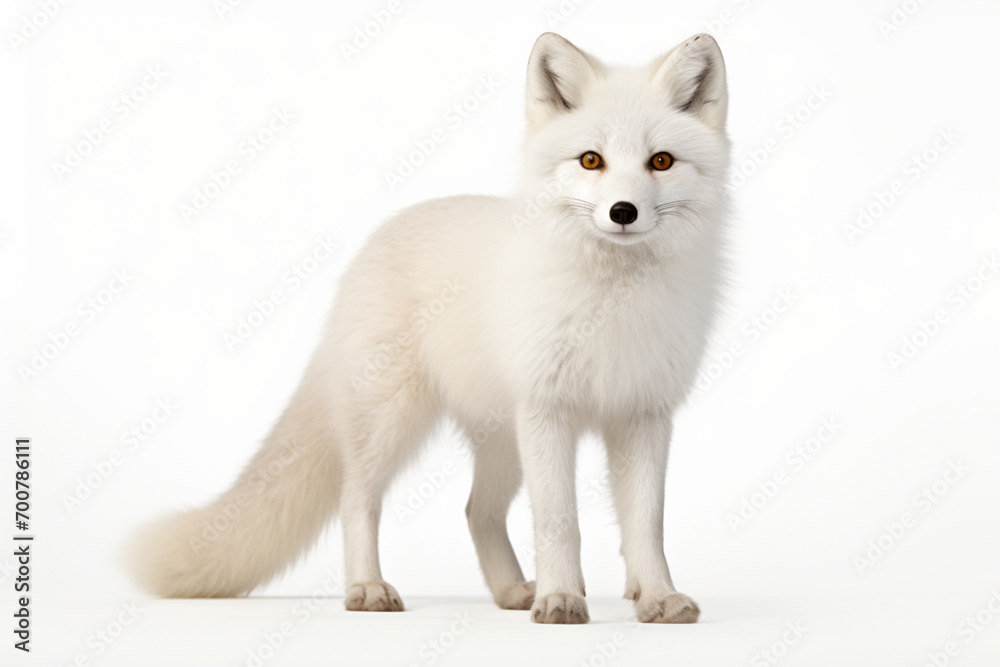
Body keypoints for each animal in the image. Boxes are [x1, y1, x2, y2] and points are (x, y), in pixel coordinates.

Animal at [126, 31, 731, 625]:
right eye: (590, 160)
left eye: (660, 161)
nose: (623, 211)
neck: (615, 306)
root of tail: (376, 240)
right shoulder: (547, 409)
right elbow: (559, 521)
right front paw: (561, 599)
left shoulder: (643, 413)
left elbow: (646, 527)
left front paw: (655, 597)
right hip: (393, 420)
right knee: (356, 500)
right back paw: (368, 588)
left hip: (500, 441)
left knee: (476, 511)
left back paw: (511, 592)